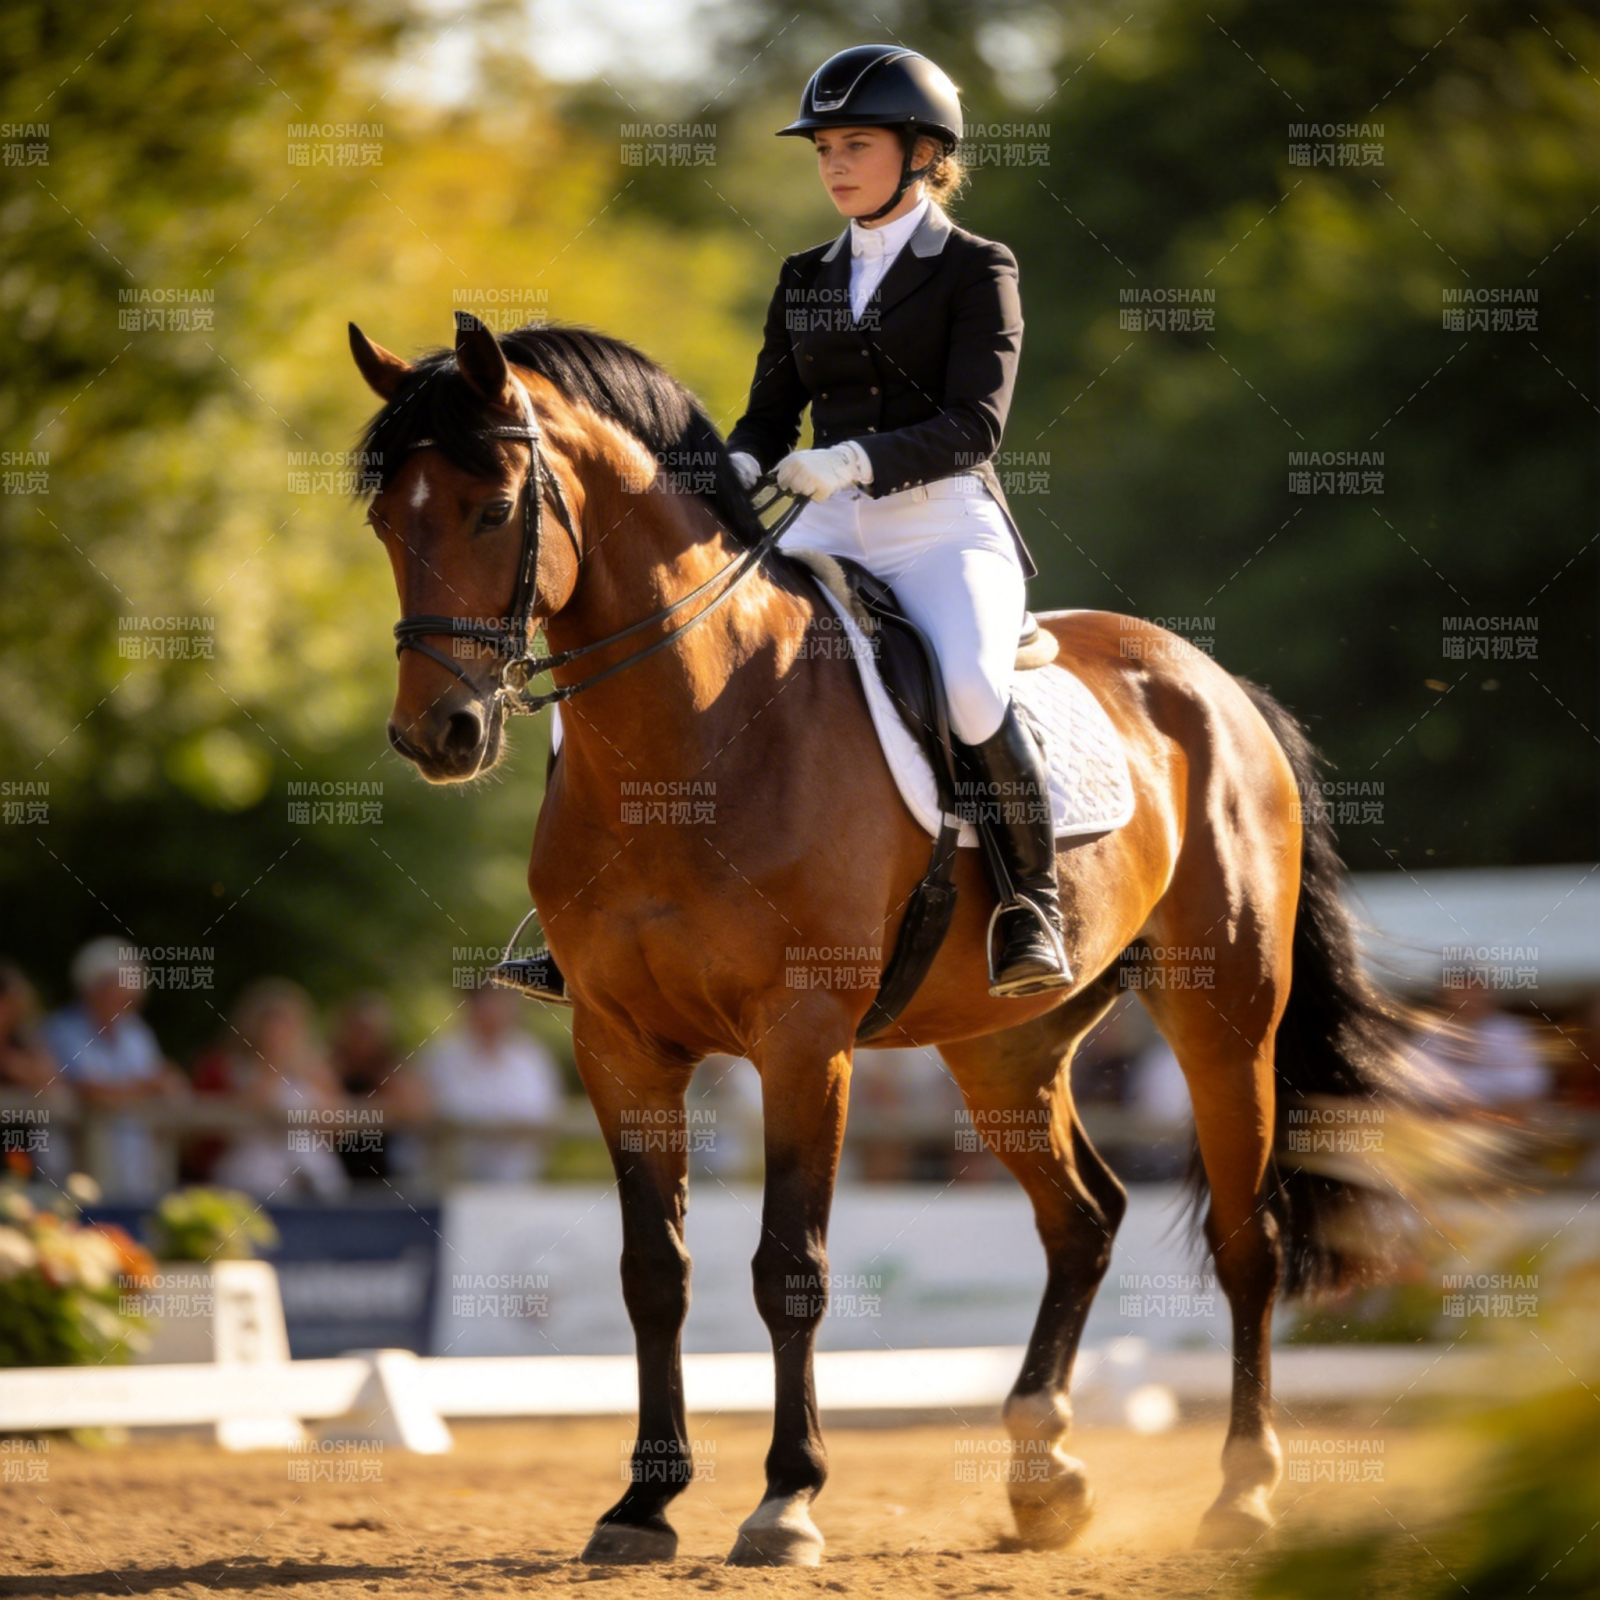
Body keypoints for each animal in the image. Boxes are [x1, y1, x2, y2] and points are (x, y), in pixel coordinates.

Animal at [349, 314, 1451, 1566]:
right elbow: (653, 1271)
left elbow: (790, 1266)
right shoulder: (617, 1043)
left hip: (1223, 1019)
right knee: (1082, 1219)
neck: (693, 735)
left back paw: (1242, 1489)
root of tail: (1213, 684)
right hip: (1003, 1047)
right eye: (386, 521)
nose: (438, 732)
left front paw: (786, 1500)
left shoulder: (802, 1037)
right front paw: (641, 1502)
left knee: (1243, 1235)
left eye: (492, 509)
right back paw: (1044, 1471)